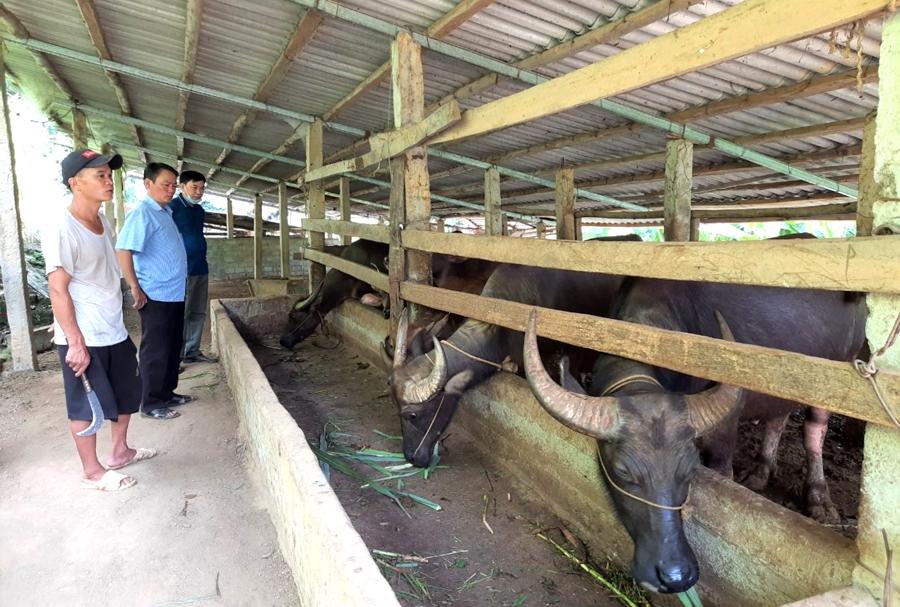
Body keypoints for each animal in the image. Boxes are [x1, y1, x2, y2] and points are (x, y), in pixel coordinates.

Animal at [524, 280, 868, 592]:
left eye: (689, 470)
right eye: (623, 471)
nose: (676, 576)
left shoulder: (721, 441)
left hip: (834, 377)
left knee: (814, 428)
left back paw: (819, 499)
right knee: (777, 418)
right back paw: (760, 472)